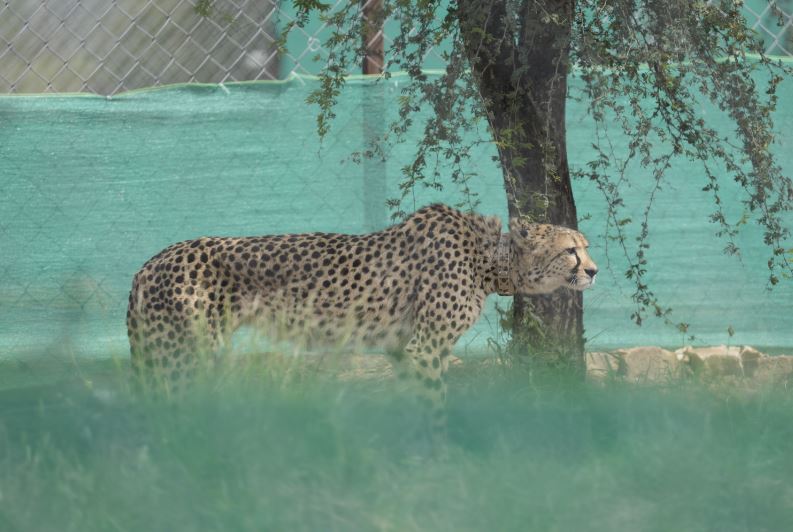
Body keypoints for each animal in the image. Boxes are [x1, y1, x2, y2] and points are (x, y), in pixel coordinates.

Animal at [125, 204, 592, 404]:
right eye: (571, 250)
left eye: (585, 247)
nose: (594, 271)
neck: (489, 259)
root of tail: (149, 263)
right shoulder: (425, 348)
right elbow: (435, 406)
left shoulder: (402, 350)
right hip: (184, 358)